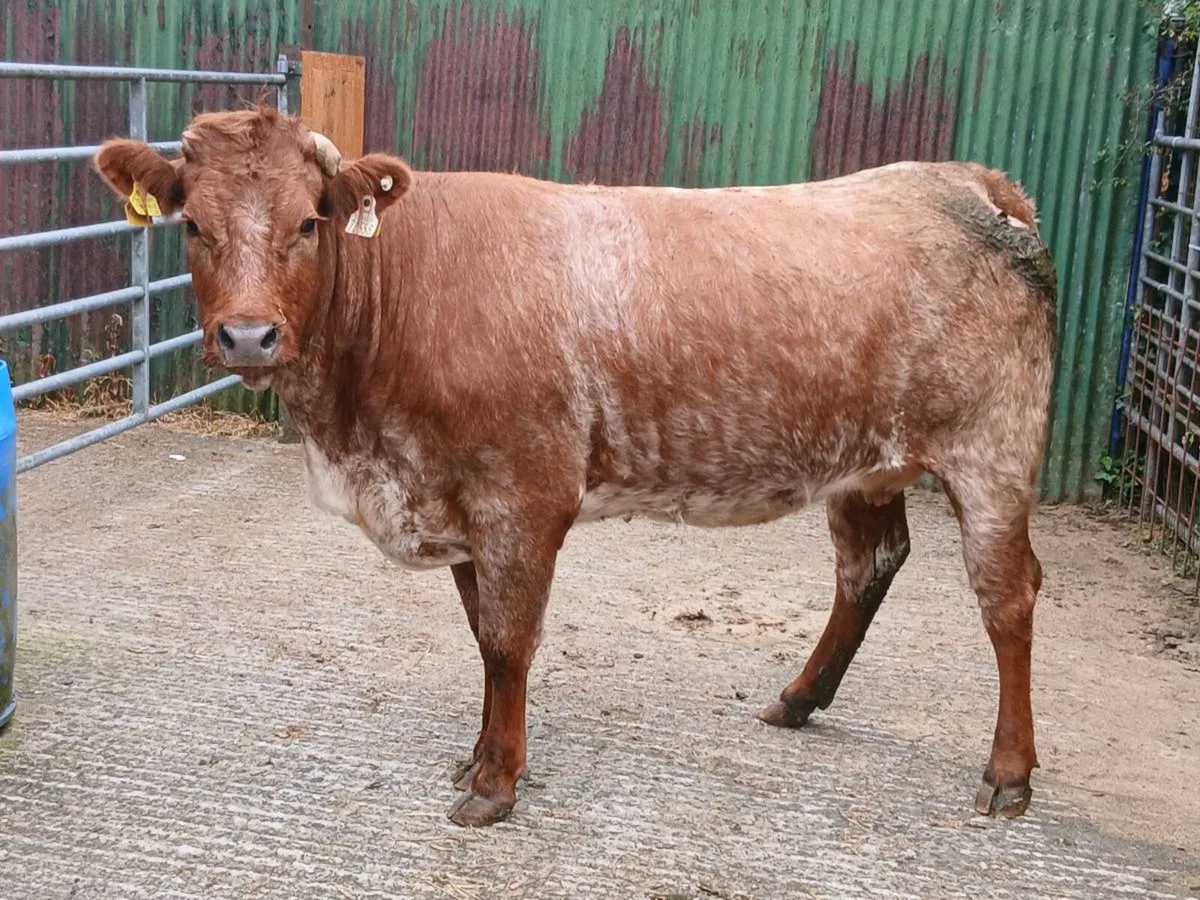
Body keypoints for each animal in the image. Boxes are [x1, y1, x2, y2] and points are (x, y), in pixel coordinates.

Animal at [94, 106, 1057, 829]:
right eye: (193, 225)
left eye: (307, 221)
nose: (247, 335)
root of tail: (966, 180)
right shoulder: (460, 503)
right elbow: (482, 638)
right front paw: (479, 759)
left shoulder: (522, 496)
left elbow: (507, 642)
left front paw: (495, 785)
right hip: (864, 464)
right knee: (869, 565)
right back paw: (798, 698)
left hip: (992, 452)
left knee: (1007, 597)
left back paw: (1008, 774)